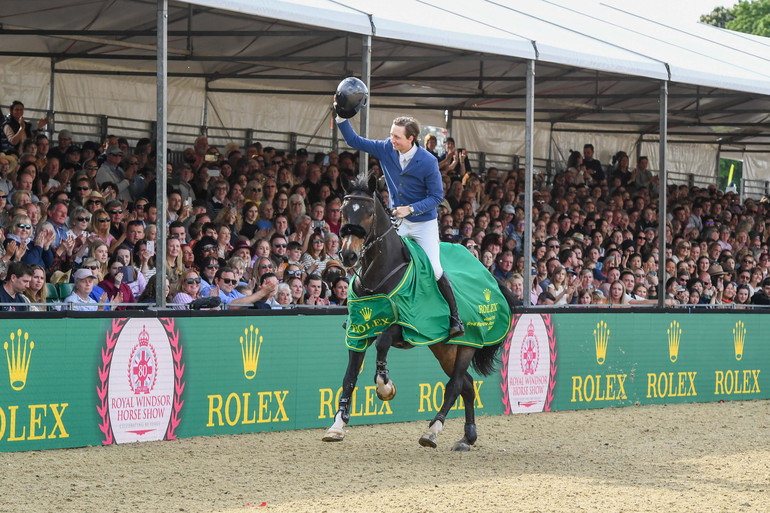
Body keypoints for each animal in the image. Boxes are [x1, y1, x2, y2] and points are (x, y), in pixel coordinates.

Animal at [320, 173, 512, 448]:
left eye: (369, 212)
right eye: (343, 211)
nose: (348, 255)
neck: (377, 276)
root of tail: (491, 279)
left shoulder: (409, 328)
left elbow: (383, 342)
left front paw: (384, 386)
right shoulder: (357, 331)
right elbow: (349, 378)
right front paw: (337, 425)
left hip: (467, 345)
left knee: (455, 385)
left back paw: (432, 431)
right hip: (444, 349)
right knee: (467, 385)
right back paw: (468, 436)